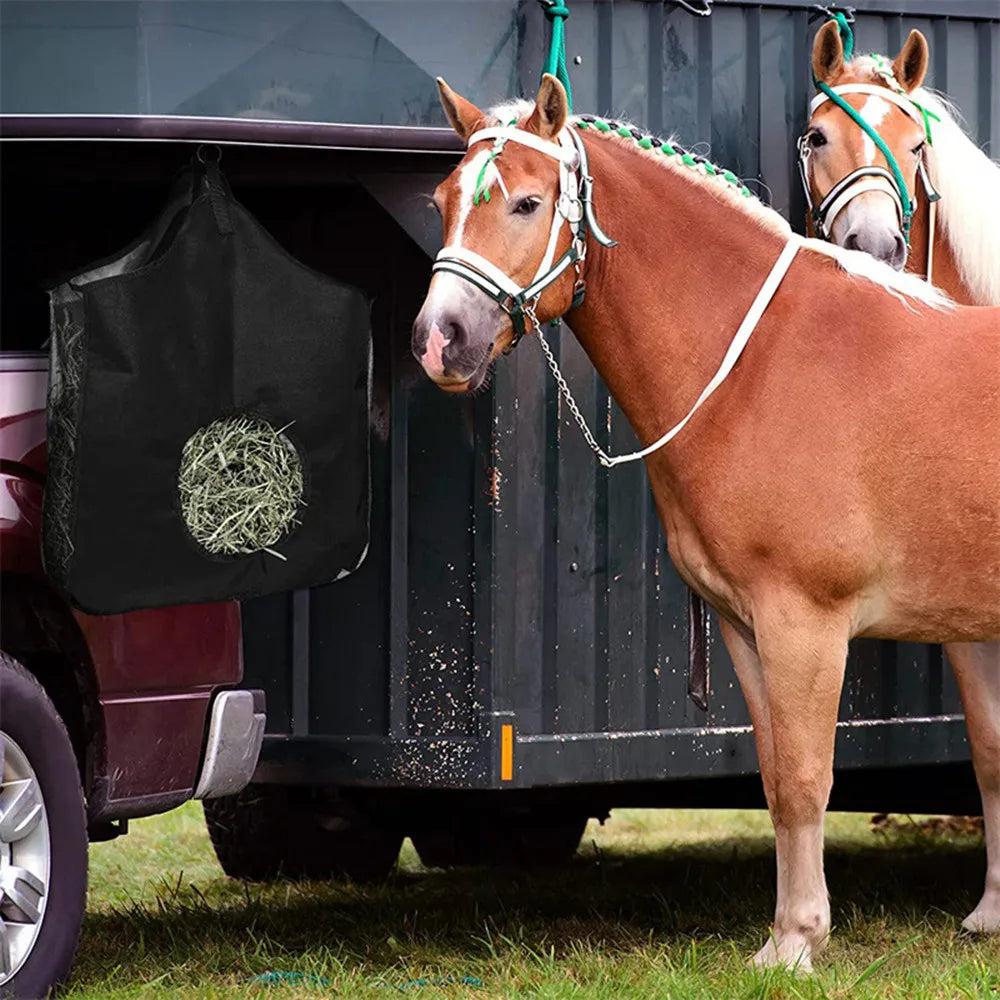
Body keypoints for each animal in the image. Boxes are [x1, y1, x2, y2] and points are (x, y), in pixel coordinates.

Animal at [411, 72, 1000, 970]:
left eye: (526, 202)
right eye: (443, 199)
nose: (440, 339)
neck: (760, 364)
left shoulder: (806, 623)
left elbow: (808, 777)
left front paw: (799, 942)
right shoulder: (744, 625)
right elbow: (777, 777)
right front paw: (783, 939)